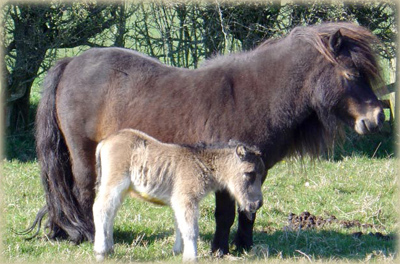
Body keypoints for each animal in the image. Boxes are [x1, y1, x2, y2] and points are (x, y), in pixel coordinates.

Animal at [30, 23, 382, 256]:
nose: (377, 117)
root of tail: (70, 62)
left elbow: (249, 209)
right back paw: (89, 237)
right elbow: (226, 212)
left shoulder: (258, 171)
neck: (258, 97)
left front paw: (245, 246)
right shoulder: (229, 169)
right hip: (84, 154)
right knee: (84, 193)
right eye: (352, 74)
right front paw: (220, 249)